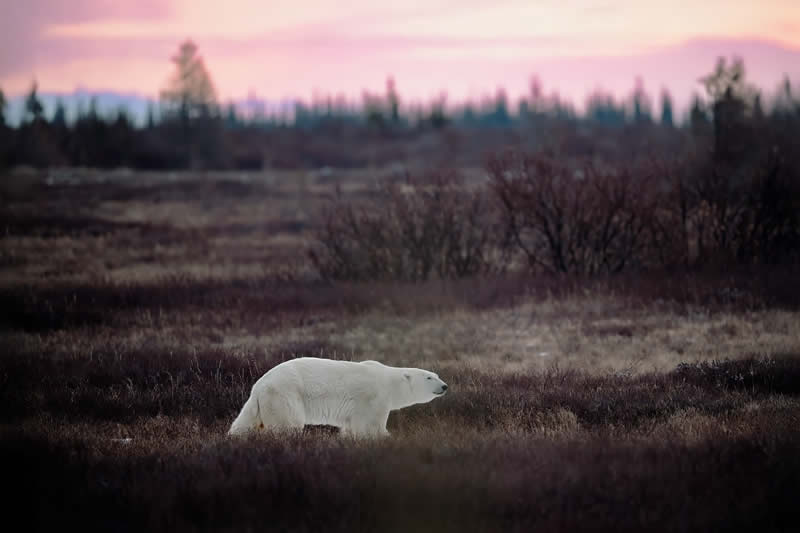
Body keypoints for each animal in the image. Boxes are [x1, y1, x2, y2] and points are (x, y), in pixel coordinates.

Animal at [228, 358, 446, 436]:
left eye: (436, 374)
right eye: (429, 377)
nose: (444, 386)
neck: (388, 380)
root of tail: (259, 386)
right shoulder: (373, 398)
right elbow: (370, 425)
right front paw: (385, 437)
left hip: (261, 403)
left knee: (244, 423)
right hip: (285, 394)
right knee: (287, 425)